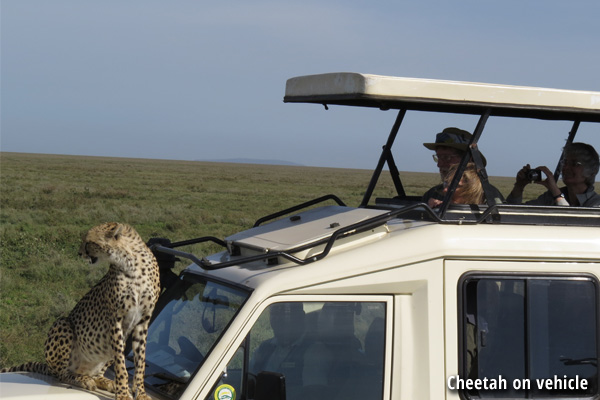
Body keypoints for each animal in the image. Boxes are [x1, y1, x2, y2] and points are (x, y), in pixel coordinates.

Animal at [1, 222, 161, 400]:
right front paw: (123, 393)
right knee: (61, 374)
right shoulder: (115, 320)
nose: (79, 253)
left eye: (88, 242)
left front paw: (140, 393)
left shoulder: (143, 321)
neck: (131, 263)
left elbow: (140, 363)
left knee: (95, 373)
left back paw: (103, 381)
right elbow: (121, 364)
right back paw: (80, 379)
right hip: (63, 324)